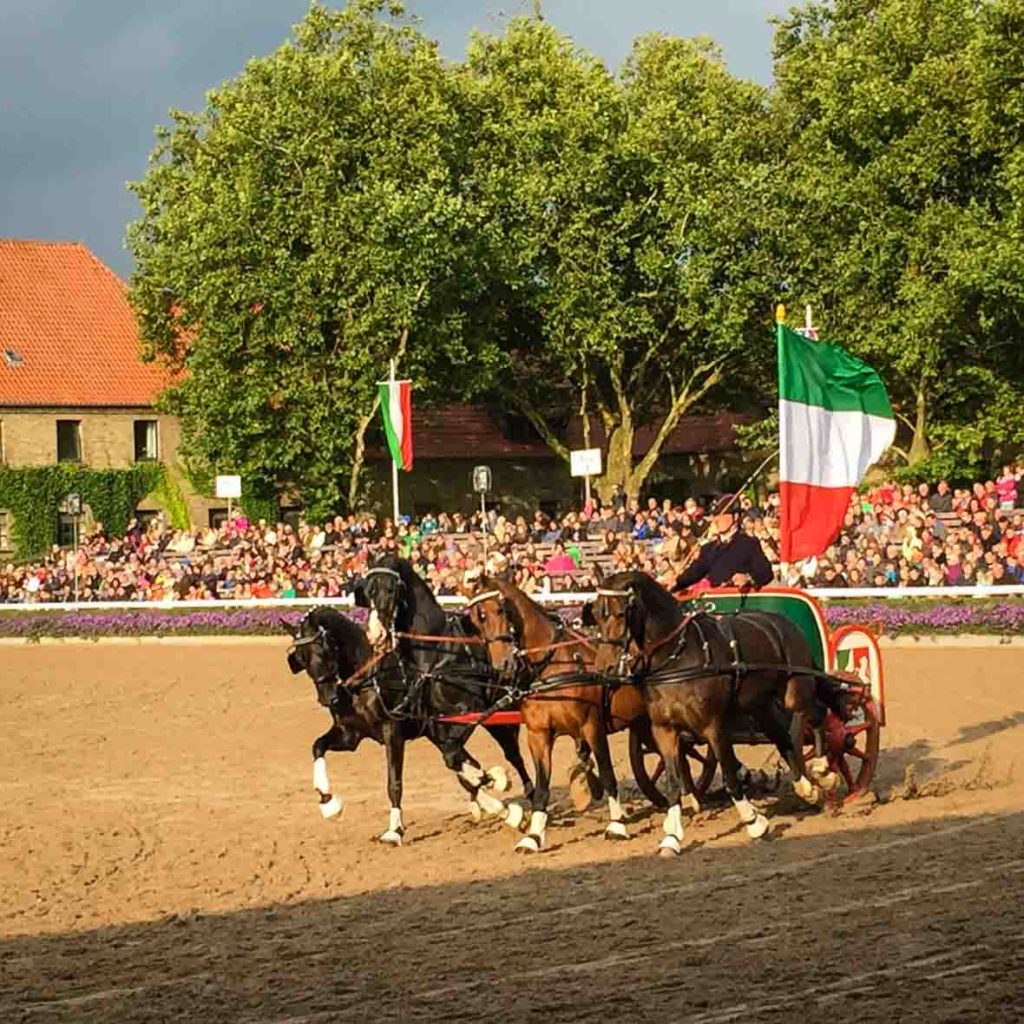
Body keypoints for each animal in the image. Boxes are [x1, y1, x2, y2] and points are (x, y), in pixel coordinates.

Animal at [354, 552, 536, 831]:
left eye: (391, 589)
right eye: (368, 591)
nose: (376, 634)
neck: (438, 655)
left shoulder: (467, 713)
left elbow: (454, 757)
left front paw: (494, 780)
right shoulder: (435, 724)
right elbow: (456, 760)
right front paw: (487, 788)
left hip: (503, 714)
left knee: (515, 754)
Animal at [466, 573, 643, 851]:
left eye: (498, 610)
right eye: (476, 621)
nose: (502, 664)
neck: (553, 665)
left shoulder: (592, 727)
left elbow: (607, 774)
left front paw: (617, 825)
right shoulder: (538, 735)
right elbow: (541, 786)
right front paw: (533, 836)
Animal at [585, 573, 839, 851]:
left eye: (620, 613)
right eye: (595, 614)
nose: (605, 668)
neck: (677, 657)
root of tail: (783, 623)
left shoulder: (713, 727)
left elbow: (729, 774)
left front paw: (754, 823)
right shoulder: (664, 730)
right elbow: (673, 780)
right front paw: (672, 836)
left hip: (796, 691)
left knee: (816, 713)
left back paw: (824, 770)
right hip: (761, 706)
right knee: (783, 738)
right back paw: (807, 787)